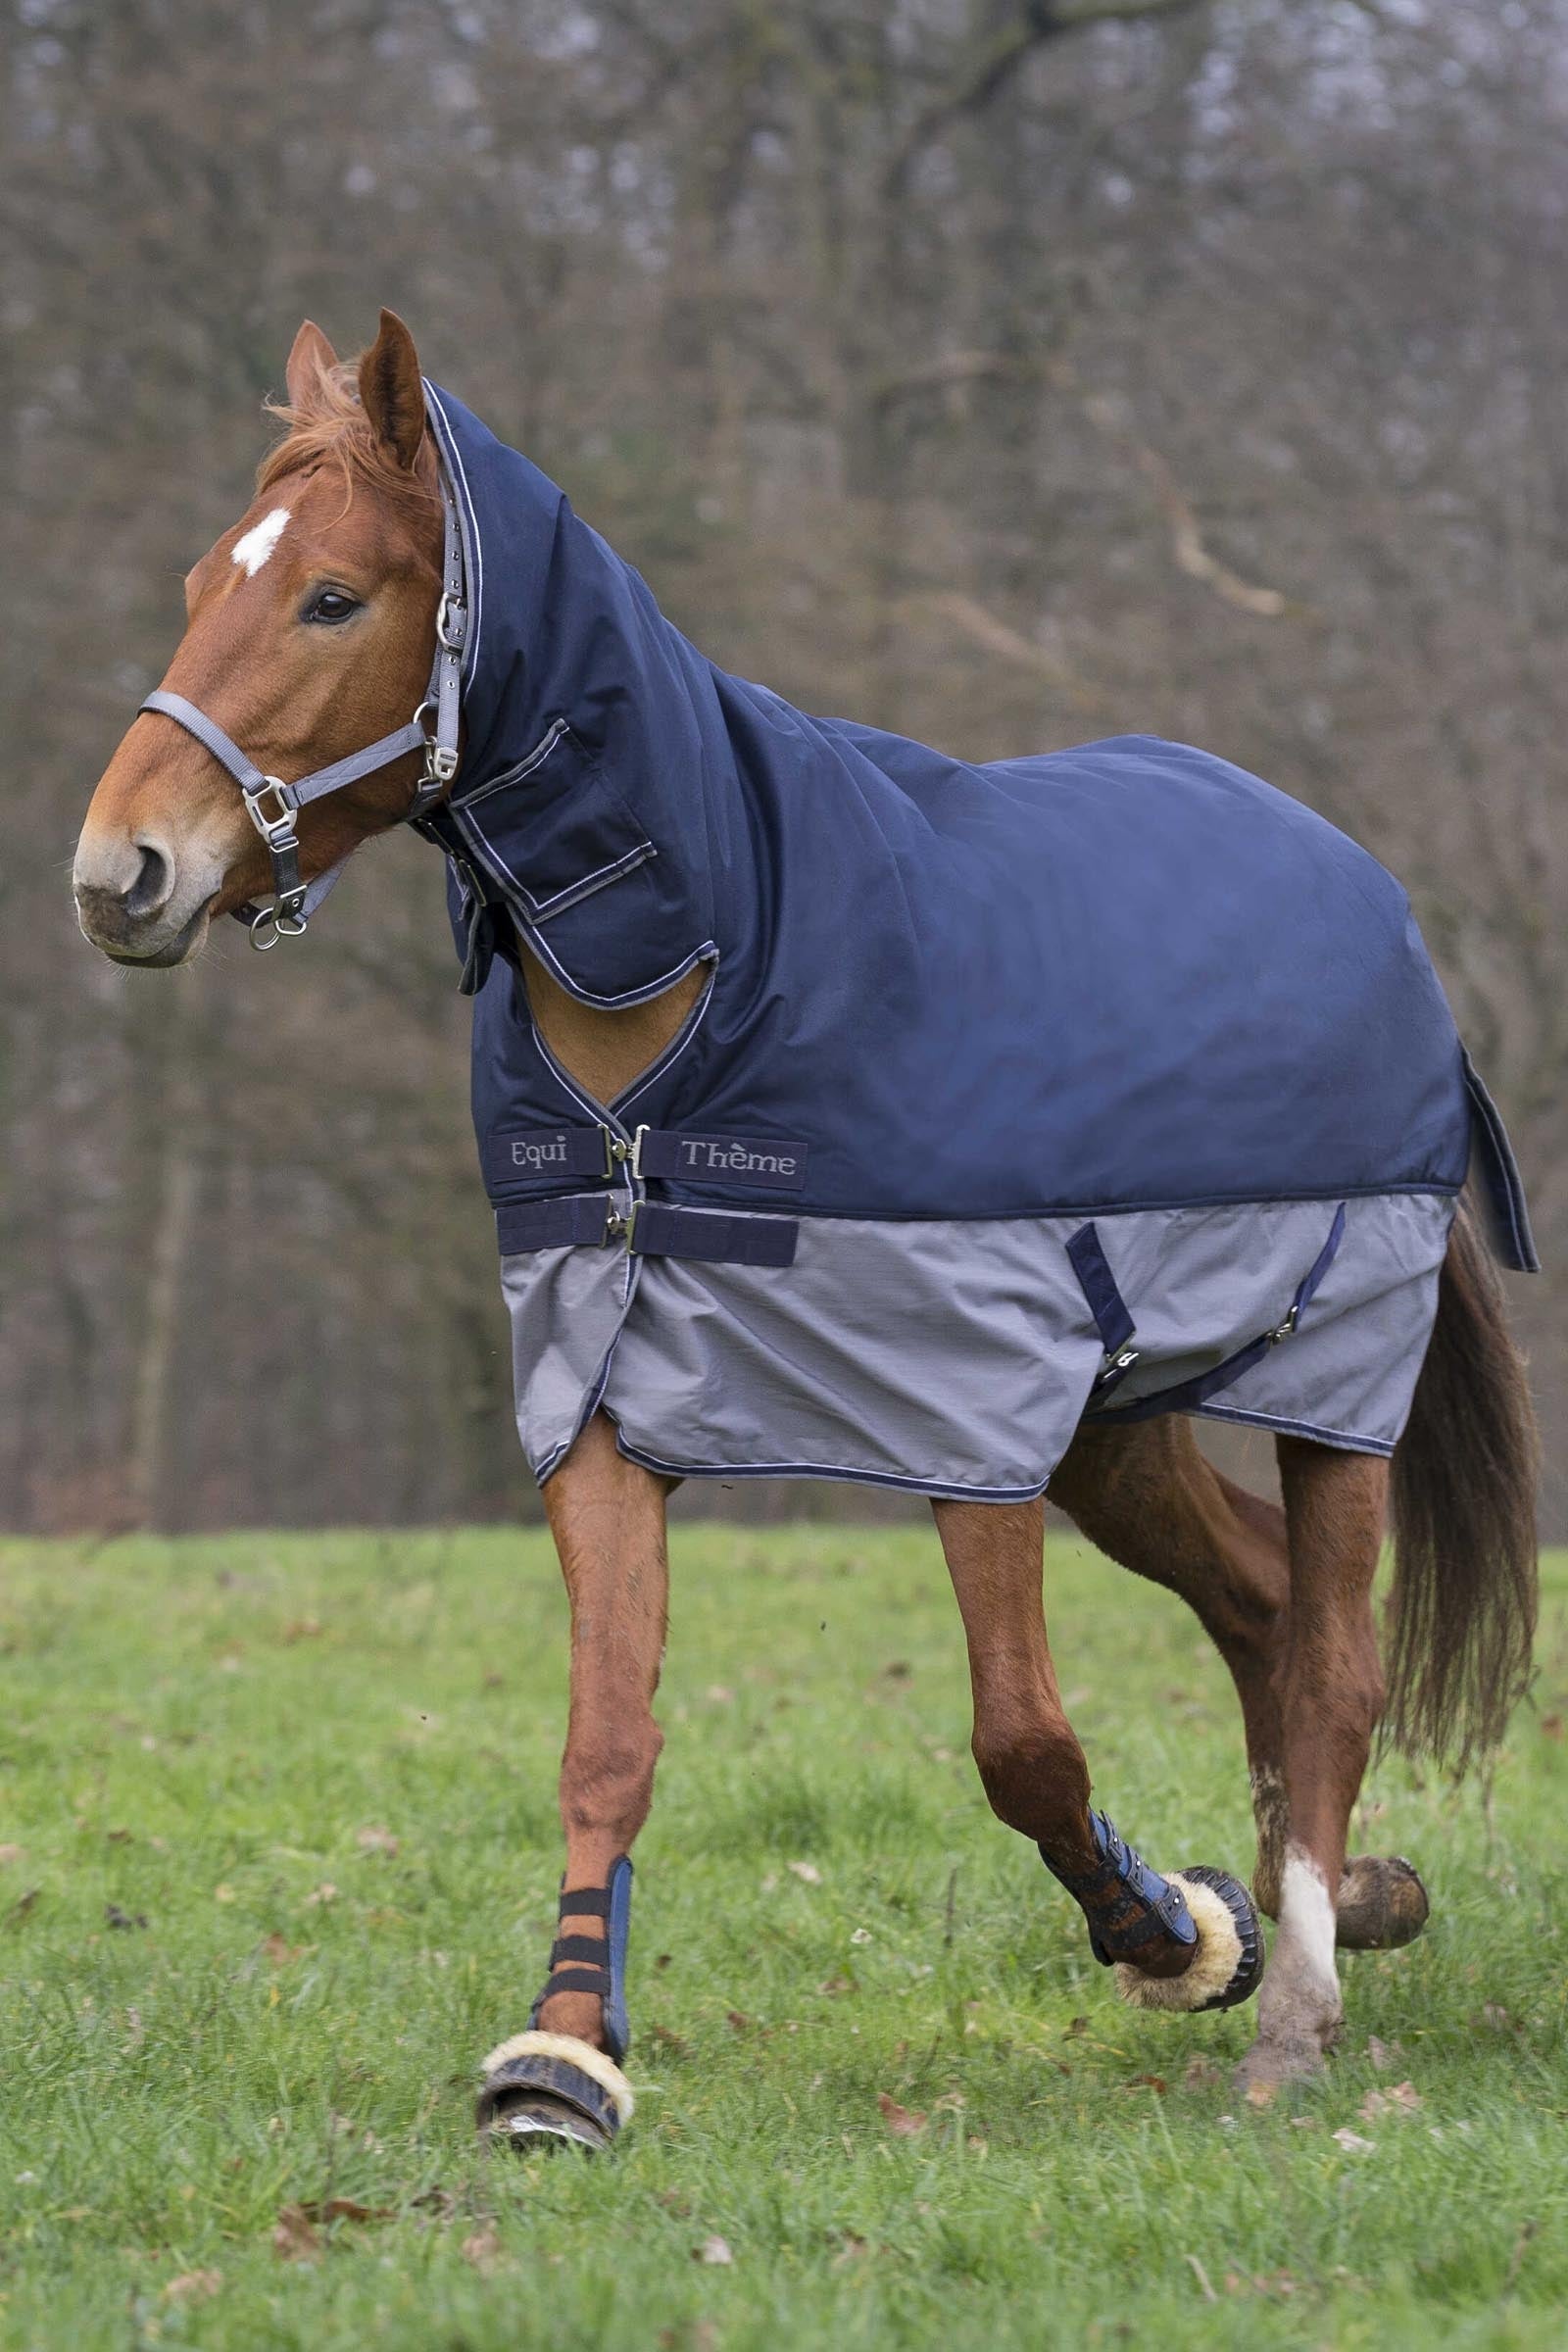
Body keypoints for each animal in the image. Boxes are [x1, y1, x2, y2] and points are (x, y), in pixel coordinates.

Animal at [73, 311, 1539, 2150]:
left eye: (332, 596)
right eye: (210, 577)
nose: (118, 873)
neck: (721, 973)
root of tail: (1368, 890)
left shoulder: (969, 1411)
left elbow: (1022, 1742)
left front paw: (1172, 1933)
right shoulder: (599, 1394)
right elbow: (607, 1739)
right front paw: (562, 2058)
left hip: (1330, 1383)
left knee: (1336, 1657)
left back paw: (1295, 2006)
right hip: (1116, 1430)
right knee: (1266, 1610)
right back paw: (1342, 1899)